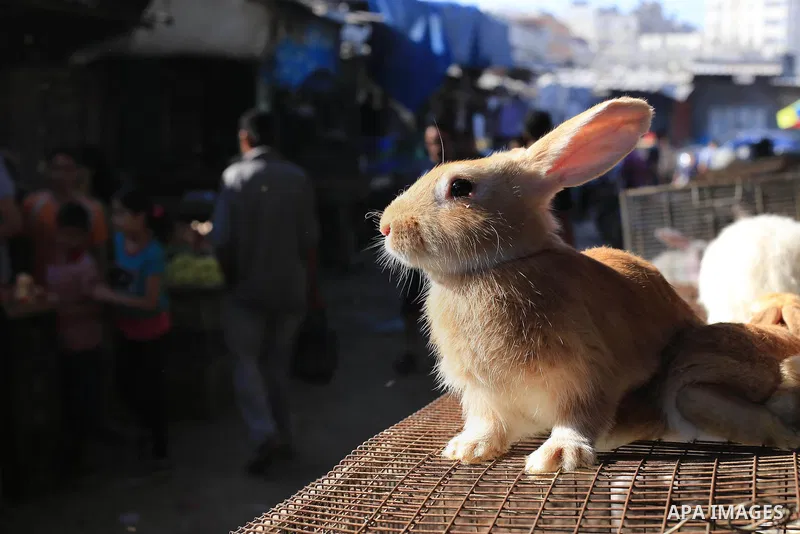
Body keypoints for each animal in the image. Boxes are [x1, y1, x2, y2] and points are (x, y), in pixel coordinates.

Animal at [378, 97, 800, 474]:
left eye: (461, 187)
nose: (385, 226)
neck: (494, 268)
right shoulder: (483, 395)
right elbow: (487, 424)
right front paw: (469, 449)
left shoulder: (586, 376)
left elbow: (578, 419)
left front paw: (558, 456)